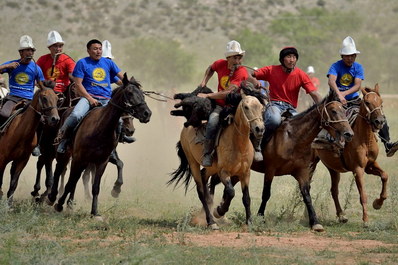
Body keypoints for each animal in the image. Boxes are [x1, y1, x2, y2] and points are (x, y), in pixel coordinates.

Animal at [52, 74, 151, 217]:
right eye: (130, 93)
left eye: (142, 94)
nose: (147, 114)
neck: (100, 129)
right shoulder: (79, 158)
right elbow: (71, 182)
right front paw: (59, 205)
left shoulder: (102, 161)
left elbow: (96, 186)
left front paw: (96, 210)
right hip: (65, 155)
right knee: (59, 171)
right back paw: (52, 197)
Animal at [168, 86, 264, 229]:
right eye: (246, 107)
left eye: (261, 108)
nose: (259, 129)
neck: (238, 145)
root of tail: (186, 129)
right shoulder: (224, 172)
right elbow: (230, 192)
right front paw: (219, 211)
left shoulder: (245, 173)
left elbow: (246, 198)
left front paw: (249, 222)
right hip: (193, 162)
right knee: (201, 191)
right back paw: (211, 221)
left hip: (211, 168)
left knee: (204, 178)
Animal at [252, 89, 354, 231]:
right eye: (333, 111)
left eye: (344, 110)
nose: (349, 134)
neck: (293, 138)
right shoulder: (270, 169)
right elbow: (266, 193)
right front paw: (260, 217)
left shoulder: (302, 171)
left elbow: (306, 194)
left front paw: (315, 222)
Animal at [312, 84, 388, 225]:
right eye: (367, 102)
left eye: (381, 102)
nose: (379, 121)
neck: (364, 139)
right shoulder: (358, 169)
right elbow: (363, 195)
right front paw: (366, 220)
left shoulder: (370, 165)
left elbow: (385, 176)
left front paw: (378, 203)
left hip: (333, 168)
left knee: (334, 190)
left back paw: (341, 215)